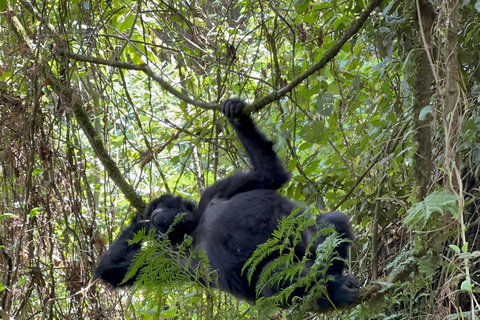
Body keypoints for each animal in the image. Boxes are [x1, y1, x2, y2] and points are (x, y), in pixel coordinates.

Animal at [94, 99, 358, 310]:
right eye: (154, 210)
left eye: (163, 205)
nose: (155, 212)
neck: (195, 226)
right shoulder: (169, 256)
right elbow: (115, 271)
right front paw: (140, 222)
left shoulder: (217, 190)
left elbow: (269, 174)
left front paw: (236, 117)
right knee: (273, 274)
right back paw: (335, 291)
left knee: (330, 222)